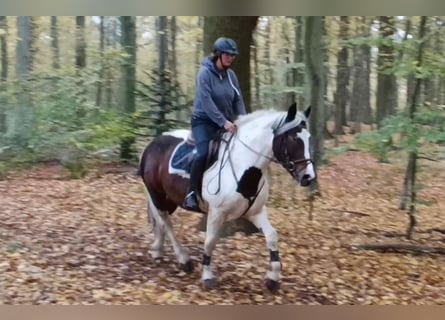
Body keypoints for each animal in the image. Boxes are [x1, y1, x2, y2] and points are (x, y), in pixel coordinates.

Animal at [137, 101, 314, 292]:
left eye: (308, 137)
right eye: (293, 139)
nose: (308, 177)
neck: (244, 165)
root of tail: (153, 143)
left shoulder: (256, 212)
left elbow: (272, 237)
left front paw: (273, 278)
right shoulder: (216, 213)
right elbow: (210, 241)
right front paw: (207, 276)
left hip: (169, 198)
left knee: (160, 219)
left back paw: (158, 249)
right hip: (157, 193)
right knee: (166, 222)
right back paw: (183, 259)